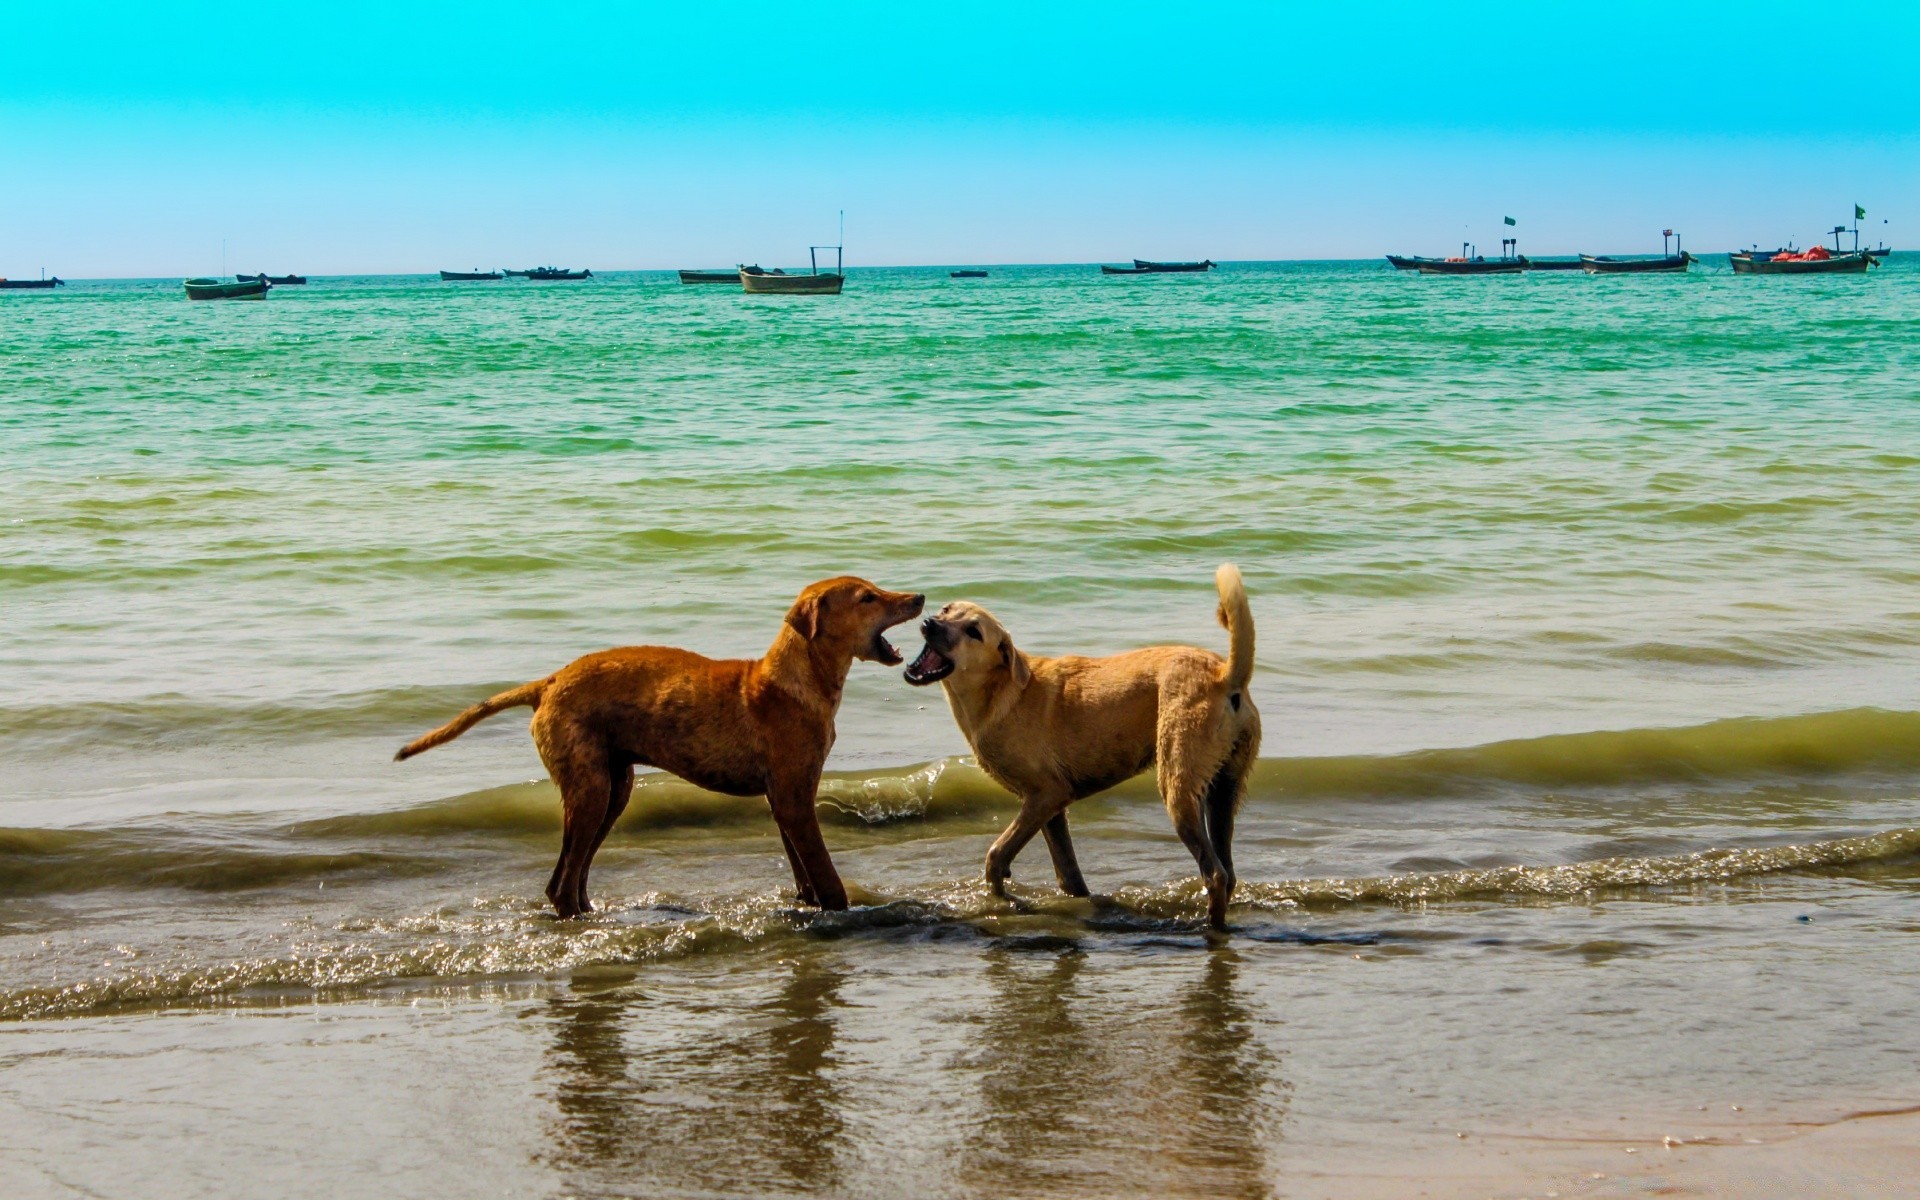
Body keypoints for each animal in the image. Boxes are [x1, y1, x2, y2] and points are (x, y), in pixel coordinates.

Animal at [395, 579, 921, 917]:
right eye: (867, 597)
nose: (918, 598)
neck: (792, 680)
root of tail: (548, 683)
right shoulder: (793, 798)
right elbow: (823, 872)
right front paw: (841, 910)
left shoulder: (785, 799)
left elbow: (802, 870)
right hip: (590, 788)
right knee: (561, 883)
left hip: (613, 788)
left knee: (571, 876)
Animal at [902, 560, 1259, 925]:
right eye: (947, 609)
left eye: (974, 632)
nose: (930, 623)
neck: (1000, 689)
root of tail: (1224, 676)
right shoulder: (1050, 808)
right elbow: (1068, 872)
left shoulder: (1047, 793)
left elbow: (997, 853)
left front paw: (1000, 894)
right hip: (1224, 788)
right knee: (1228, 870)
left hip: (1179, 785)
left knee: (1214, 873)